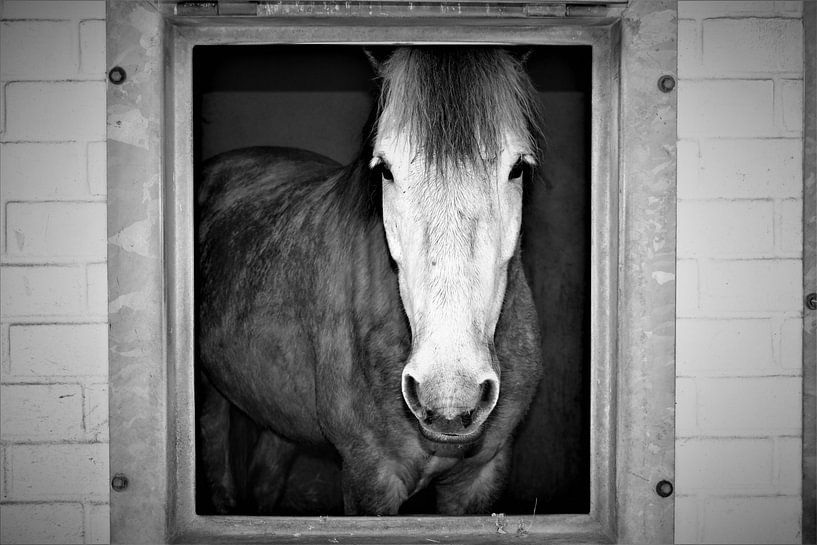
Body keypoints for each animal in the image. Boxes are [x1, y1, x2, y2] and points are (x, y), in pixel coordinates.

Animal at [196, 46, 544, 516]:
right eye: (385, 169)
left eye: (517, 168)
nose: (449, 399)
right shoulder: (370, 479)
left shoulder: (481, 476)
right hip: (210, 397)